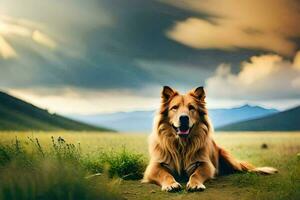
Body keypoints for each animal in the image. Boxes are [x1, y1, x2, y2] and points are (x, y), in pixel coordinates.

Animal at [142, 86, 278, 192]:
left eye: (191, 108)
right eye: (174, 107)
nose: (184, 118)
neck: (182, 145)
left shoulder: (206, 164)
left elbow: (196, 173)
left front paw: (195, 184)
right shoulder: (153, 167)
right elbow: (165, 174)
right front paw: (171, 184)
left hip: (227, 157)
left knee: (243, 168)